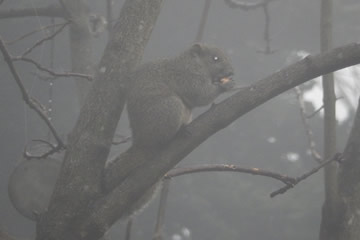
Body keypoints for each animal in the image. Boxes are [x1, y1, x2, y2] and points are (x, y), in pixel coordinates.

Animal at [102, 42, 235, 216]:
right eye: (215, 58)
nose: (231, 72)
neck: (194, 63)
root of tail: (142, 141)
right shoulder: (186, 76)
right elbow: (200, 94)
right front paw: (226, 86)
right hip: (169, 108)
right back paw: (178, 133)